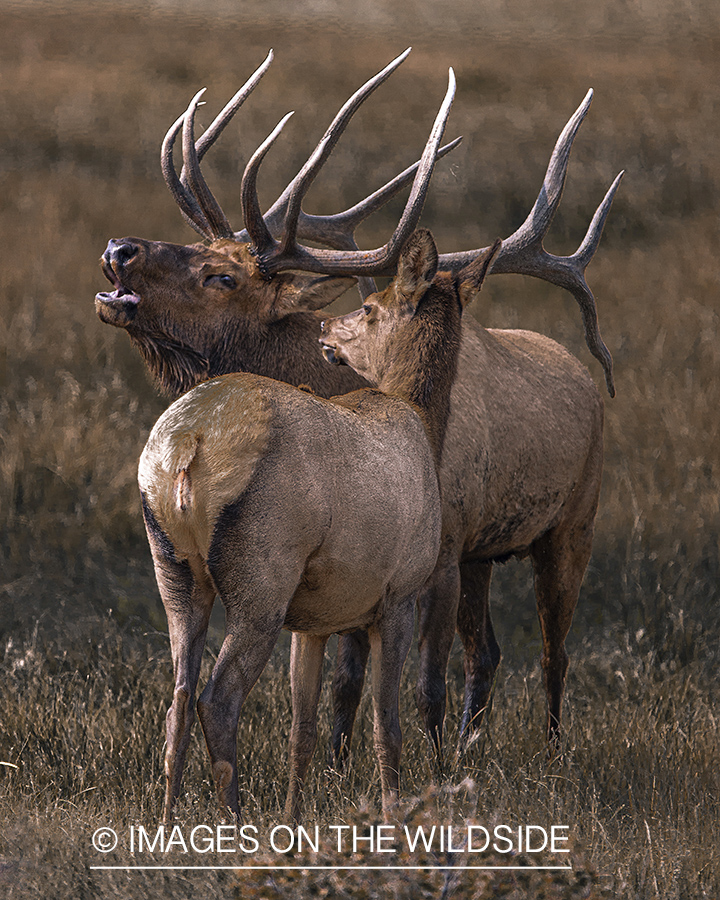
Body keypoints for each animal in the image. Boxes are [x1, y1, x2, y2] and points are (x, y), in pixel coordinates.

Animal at [95, 47, 620, 800]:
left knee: (549, 651)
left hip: (566, 526)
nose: (119, 249)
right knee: (488, 652)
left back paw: (536, 754)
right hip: (476, 554)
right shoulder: (373, 568)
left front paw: (419, 773)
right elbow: (345, 684)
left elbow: (412, 683)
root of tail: (582, 372)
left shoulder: (435, 553)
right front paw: (344, 772)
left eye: (224, 276)